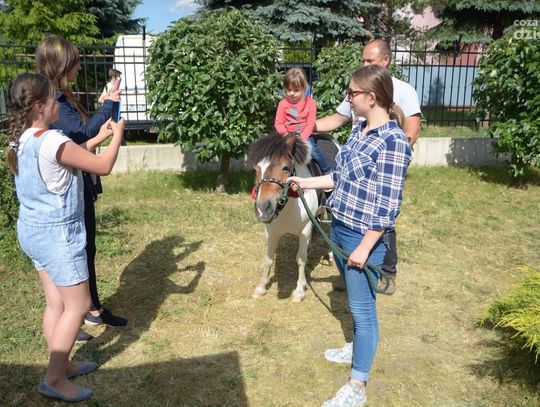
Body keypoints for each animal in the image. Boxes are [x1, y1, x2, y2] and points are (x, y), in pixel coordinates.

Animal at [247, 132, 323, 302]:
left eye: (286, 168)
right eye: (256, 169)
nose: (263, 209)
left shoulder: (305, 229)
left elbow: (301, 259)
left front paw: (299, 291)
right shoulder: (271, 231)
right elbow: (268, 259)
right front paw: (261, 287)